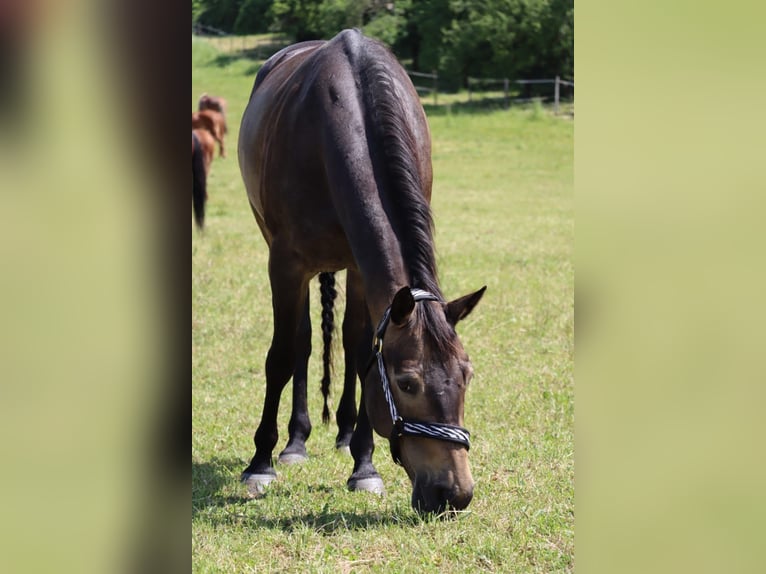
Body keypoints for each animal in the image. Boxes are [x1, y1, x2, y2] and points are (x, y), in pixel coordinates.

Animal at [238, 29, 486, 514]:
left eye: (466, 375)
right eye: (407, 383)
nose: (455, 494)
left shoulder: (360, 267)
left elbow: (360, 348)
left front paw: (364, 465)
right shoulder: (285, 263)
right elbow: (282, 355)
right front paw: (261, 462)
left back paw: (345, 433)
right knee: (303, 342)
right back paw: (295, 442)